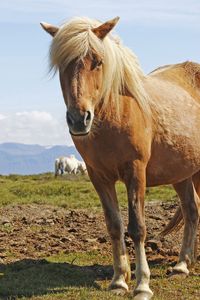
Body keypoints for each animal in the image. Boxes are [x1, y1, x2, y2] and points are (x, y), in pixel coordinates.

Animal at [40, 17, 200, 298]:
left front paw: (142, 284)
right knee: (191, 211)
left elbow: (137, 228)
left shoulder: (135, 172)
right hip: (182, 173)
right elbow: (114, 226)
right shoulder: (98, 176)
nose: (79, 119)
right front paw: (118, 280)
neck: (116, 113)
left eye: (98, 61)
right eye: (62, 64)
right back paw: (182, 265)